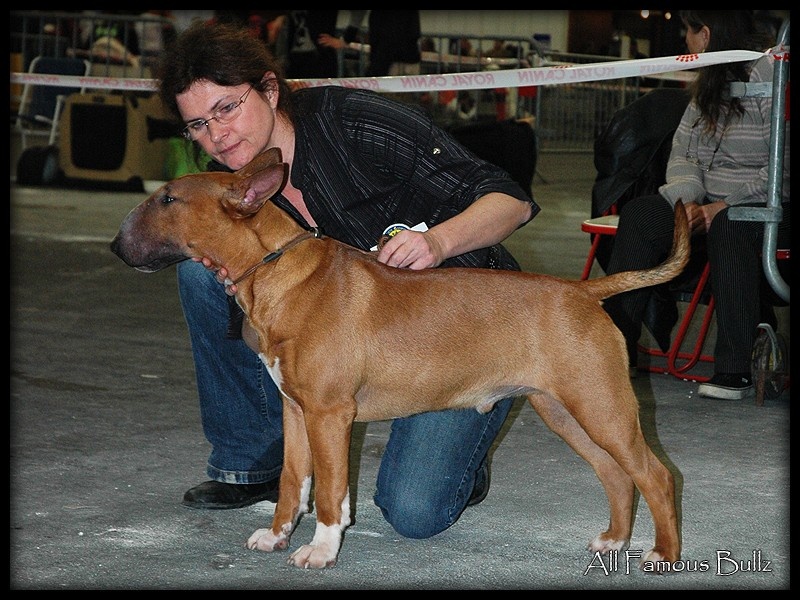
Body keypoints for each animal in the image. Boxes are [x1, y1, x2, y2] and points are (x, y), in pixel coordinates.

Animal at [111, 148, 688, 568]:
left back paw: (663, 554)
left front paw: (320, 551)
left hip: (603, 408)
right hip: (565, 411)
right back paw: (613, 541)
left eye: (168, 199)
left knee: (656, 477)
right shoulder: (298, 412)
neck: (278, 272)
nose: (116, 247)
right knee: (617, 476)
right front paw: (277, 538)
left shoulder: (329, 414)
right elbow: (293, 483)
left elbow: (329, 493)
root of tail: (585, 291)